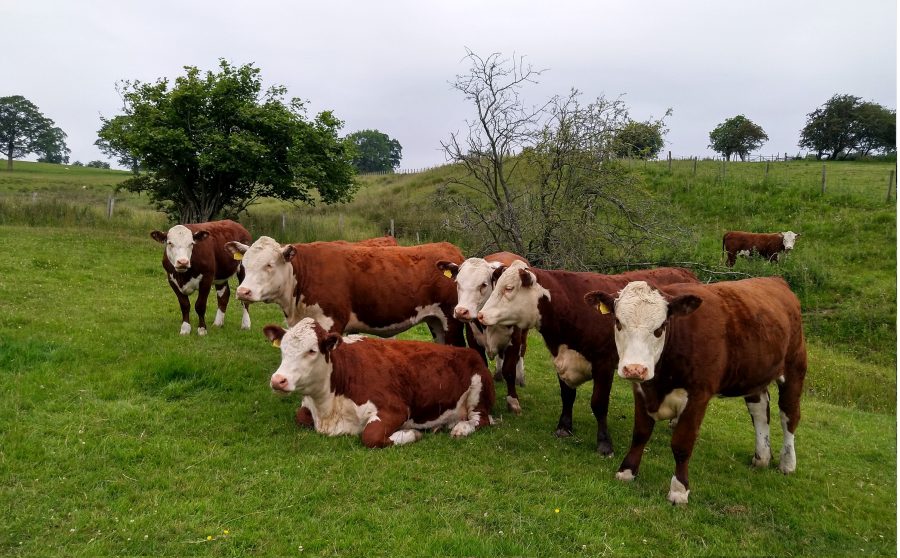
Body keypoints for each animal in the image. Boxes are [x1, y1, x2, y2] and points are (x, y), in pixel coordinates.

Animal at [225, 236, 468, 346]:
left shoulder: (331, 322)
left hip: (452, 321)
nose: (243, 291)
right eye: (244, 264)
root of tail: (449, 247)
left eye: (269, 265)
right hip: (436, 322)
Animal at [264, 320, 496, 450]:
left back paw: (461, 428)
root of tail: (469, 352)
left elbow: (371, 436)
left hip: (478, 390)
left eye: (312, 350)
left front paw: (412, 434)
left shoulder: (396, 409)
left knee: (481, 419)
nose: (278, 380)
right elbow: (300, 416)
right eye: (282, 348)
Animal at [434, 254, 528, 416]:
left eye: (483, 284)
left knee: (522, 350)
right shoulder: (474, 341)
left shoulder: (514, 341)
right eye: (457, 283)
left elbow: (509, 370)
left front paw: (513, 401)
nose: (461, 311)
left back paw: (520, 378)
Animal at [474, 262, 700, 456]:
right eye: (496, 285)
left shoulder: (604, 364)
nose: (481, 315)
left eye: (509, 288)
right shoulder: (562, 360)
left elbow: (599, 404)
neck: (571, 306)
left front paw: (604, 443)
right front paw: (564, 427)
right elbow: (567, 396)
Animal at [584, 280, 808, 508]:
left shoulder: (698, 396)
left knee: (789, 415)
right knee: (760, 410)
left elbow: (682, 444)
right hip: (755, 376)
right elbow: (640, 433)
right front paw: (627, 471)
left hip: (794, 368)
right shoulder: (642, 390)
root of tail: (775, 280)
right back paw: (762, 457)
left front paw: (679, 490)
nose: (635, 369)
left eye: (660, 327)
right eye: (618, 322)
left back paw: (787, 463)